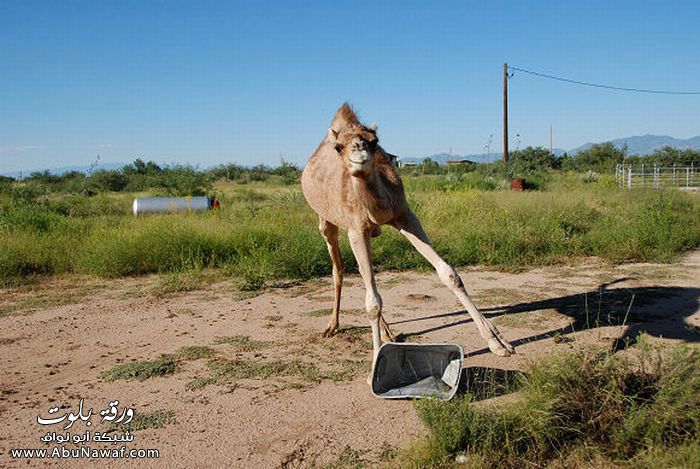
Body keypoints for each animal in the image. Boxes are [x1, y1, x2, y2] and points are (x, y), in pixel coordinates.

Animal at [300, 102, 516, 370]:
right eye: (338, 147)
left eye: (375, 141)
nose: (359, 149)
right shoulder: (356, 228)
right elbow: (372, 302)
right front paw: (376, 363)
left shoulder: (405, 215)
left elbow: (449, 274)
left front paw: (499, 342)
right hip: (325, 221)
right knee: (338, 269)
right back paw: (333, 326)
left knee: (365, 279)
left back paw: (388, 333)